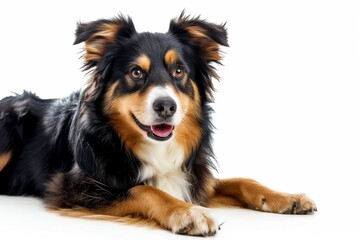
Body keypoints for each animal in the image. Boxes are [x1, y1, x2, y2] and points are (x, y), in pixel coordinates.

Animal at [0, 13, 316, 236]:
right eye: (135, 73)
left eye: (179, 71)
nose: (166, 106)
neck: (152, 147)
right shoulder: (72, 185)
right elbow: (144, 189)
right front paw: (189, 213)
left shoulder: (194, 177)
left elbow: (242, 180)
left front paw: (286, 198)